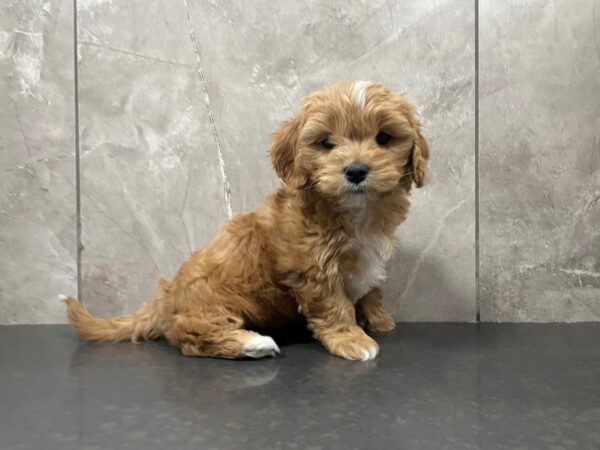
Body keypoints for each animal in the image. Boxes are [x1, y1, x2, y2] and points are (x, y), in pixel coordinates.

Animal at [65, 81, 428, 362]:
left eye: (383, 138)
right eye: (327, 143)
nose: (355, 171)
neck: (357, 211)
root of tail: (165, 298)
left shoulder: (369, 257)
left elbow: (373, 290)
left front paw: (380, 320)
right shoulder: (313, 269)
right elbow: (334, 306)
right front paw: (352, 340)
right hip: (210, 303)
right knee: (187, 334)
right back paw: (252, 343)